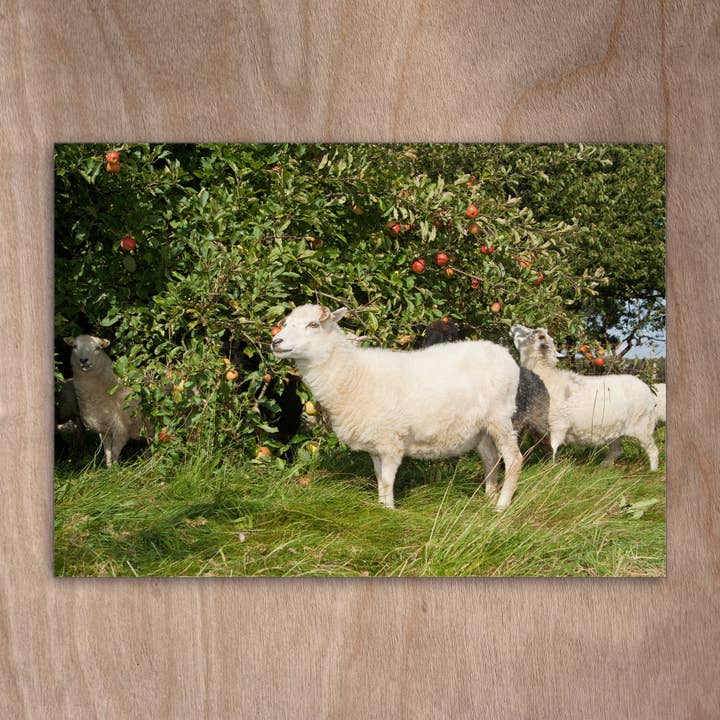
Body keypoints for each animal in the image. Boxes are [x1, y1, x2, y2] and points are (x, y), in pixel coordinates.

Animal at [64, 335, 150, 467]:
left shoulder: (121, 429)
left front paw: (116, 469)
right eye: (74, 346)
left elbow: (114, 451)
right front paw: (109, 467)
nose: (84, 360)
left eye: (98, 348)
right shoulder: (104, 431)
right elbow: (107, 451)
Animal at [271, 304, 523, 510]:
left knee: (513, 458)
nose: (276, 342)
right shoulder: (374, 445)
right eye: (286, 323)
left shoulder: (390, 441)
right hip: (481, 427)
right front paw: (381, 507)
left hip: (500, 417)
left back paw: (501, 505)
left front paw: (390, 511)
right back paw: (488, 498)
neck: (353, 374)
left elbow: (387, 480)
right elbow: (379, 479)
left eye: (313, 324)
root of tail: (503, 353)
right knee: (491, 459)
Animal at [510, 325, 660, 470]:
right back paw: (603, 467)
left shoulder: (558, 425)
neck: (546, 375)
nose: (514, 326)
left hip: (642, 425)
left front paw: (550, 470)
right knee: (617, 451)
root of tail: (645, 388)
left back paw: (652, 470)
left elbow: (553, 448)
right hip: (616, 429)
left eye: (532, 332)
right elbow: (546, 449)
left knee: (653, 450)